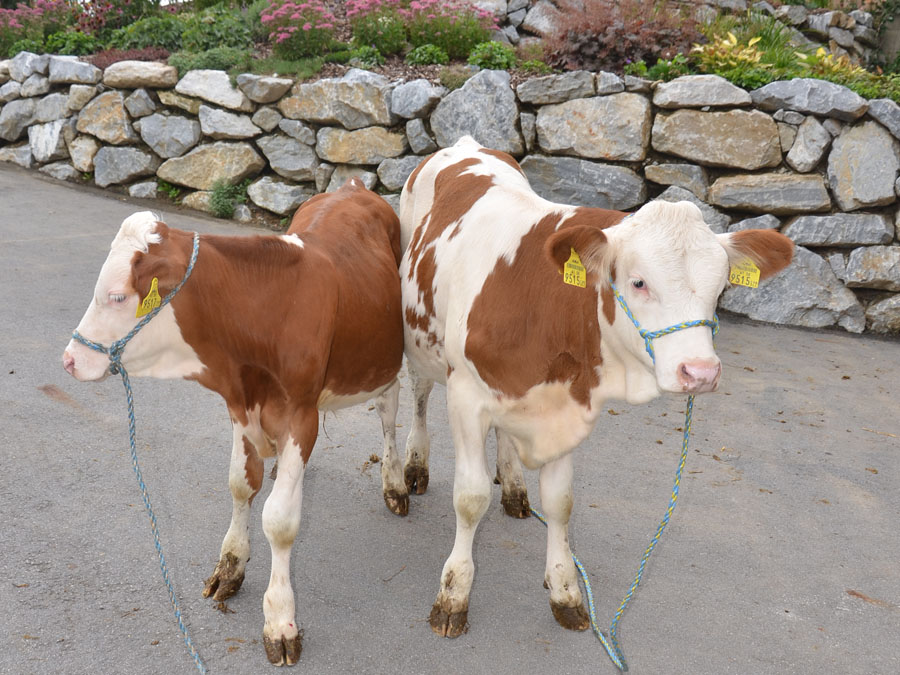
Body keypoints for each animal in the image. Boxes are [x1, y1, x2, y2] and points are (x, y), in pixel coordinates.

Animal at [59, 180, 404, 664]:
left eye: (118, 296)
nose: (70, 360)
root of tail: (353, 185)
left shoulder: (300, 413)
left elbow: (280, 520)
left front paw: (280, 620)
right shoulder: (240, 407)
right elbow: (241, 485)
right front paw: (231, 566)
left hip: (390, 355)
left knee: (390, 411)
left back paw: (396, 482)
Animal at [398, 136, 792, 640]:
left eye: (721, 288)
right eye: (638, 282)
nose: (700, 371)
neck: (540, 301)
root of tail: (466, 144)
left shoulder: (565, 404)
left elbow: (561, 502)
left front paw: (565, 590)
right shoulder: (466, 397)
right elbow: (469, 500)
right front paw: (453, 595)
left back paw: (513, 484)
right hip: (417, 338)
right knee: (419, 396)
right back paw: (413, 467)